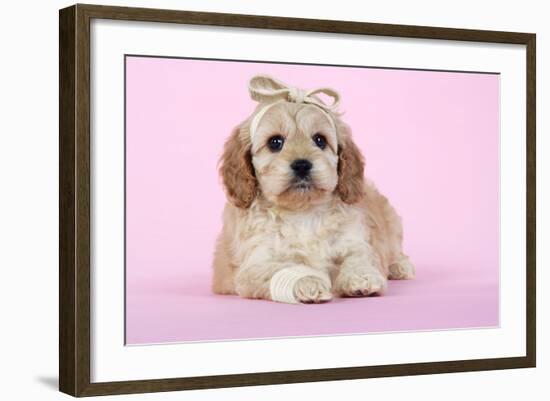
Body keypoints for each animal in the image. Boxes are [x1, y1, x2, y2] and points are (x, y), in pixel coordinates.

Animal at [213, 74, 416, 304]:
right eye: (275, 142)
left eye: (320, 140)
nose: (302, 165)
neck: (303, 212)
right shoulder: (256, 264)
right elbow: (285, 268)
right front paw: (309, 282)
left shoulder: (354, 240)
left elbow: (359, 256)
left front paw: (361, 278)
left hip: (392, 222)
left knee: (394, 248)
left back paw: (399, 266)